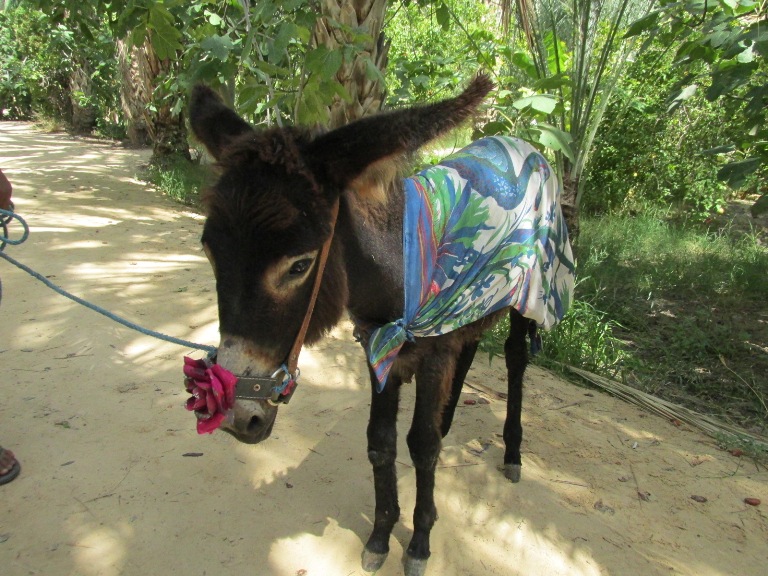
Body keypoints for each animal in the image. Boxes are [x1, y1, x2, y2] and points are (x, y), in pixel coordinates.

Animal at [186, 74, 575, 576]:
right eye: (210, 252)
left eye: (299, 266)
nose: (238, 416)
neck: (398, 267)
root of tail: (525, 144)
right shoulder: (380, 348)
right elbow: (380, 441)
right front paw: (379, 535)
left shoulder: (430, 351)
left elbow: (422, 445)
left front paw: (420, 543)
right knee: (470, 347)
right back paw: (451, 417)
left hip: (528, 298)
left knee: (514, 358)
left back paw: (511, 453)